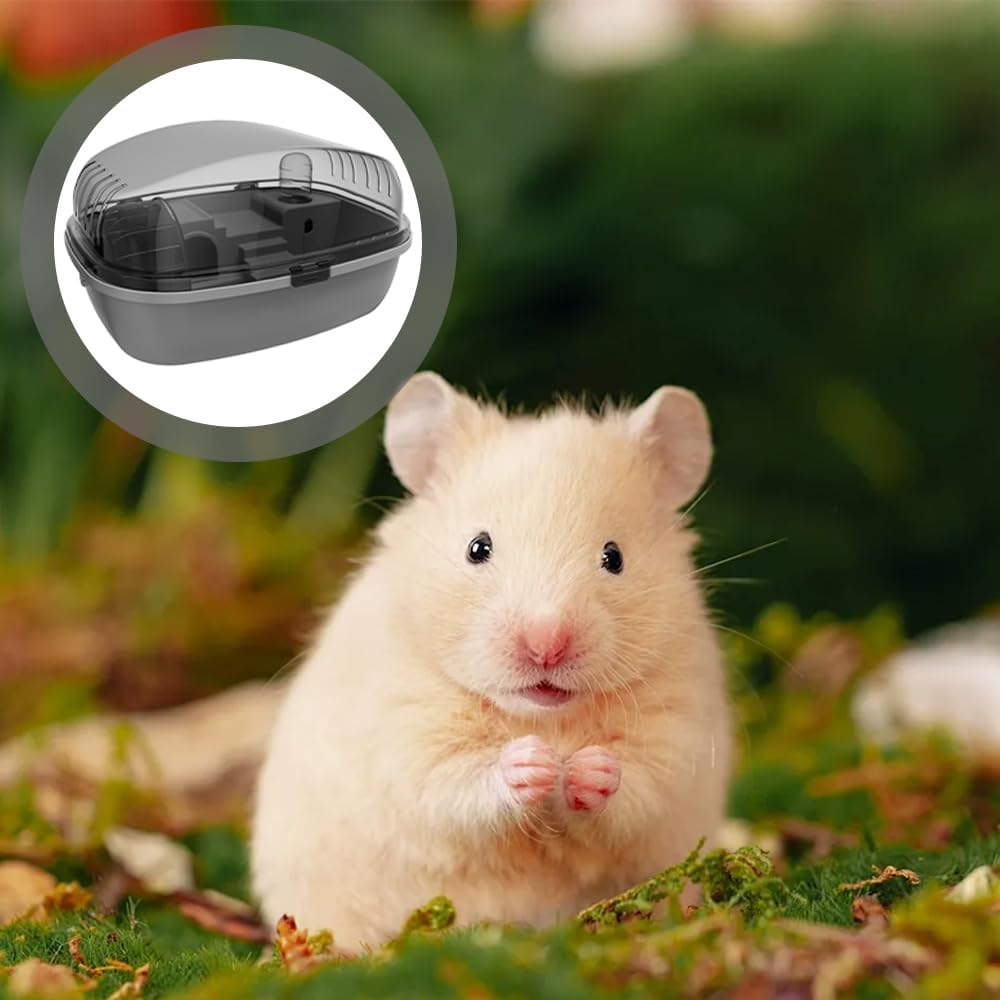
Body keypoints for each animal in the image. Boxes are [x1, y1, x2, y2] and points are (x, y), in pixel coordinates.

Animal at [251, 372, 731, 950]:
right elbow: (457, 781)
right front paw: (534, 764)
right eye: (478, 548)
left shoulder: (676, 734)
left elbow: (636, 786)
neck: (543, 717)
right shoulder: (407, 733)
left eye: (614, 557)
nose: (547, 643)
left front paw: (585, 769)